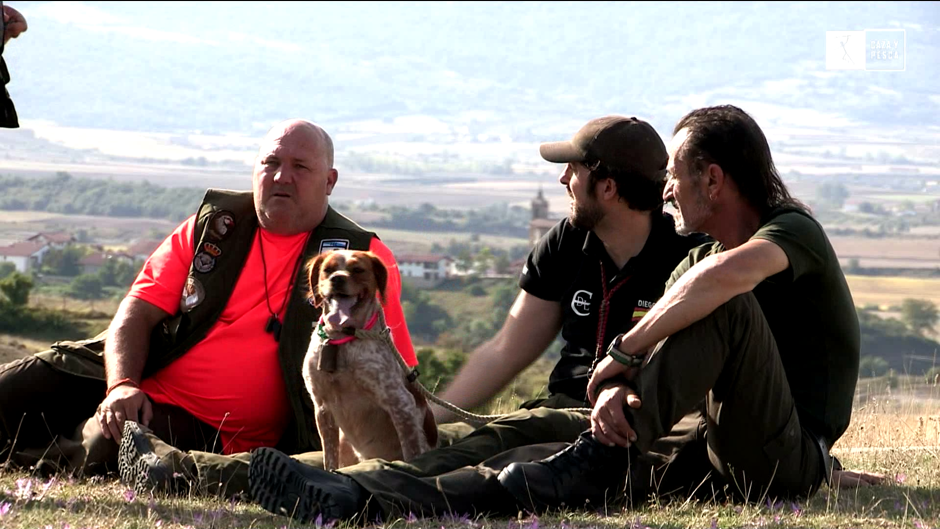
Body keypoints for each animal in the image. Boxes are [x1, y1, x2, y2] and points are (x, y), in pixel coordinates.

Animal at [302, 250, 436, 468]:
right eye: (327, 270)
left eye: (358, 269)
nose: (337, 279)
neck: (342, 339)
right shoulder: (322, 406)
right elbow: (329, 459)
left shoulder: (400, 403)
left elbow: (411, 452)